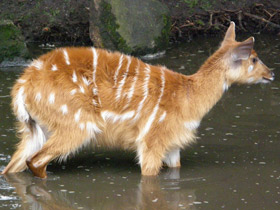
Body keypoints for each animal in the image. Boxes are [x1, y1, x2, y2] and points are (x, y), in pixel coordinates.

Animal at [1, 22, 274, 178]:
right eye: (254, 58)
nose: (271, 73)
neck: (189, 98)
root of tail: (22, 87)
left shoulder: (173, 144)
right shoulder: (151, 139)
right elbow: (149, 176)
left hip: (33, 128)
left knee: (13, 166)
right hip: (77, 124)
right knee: (36, 162)